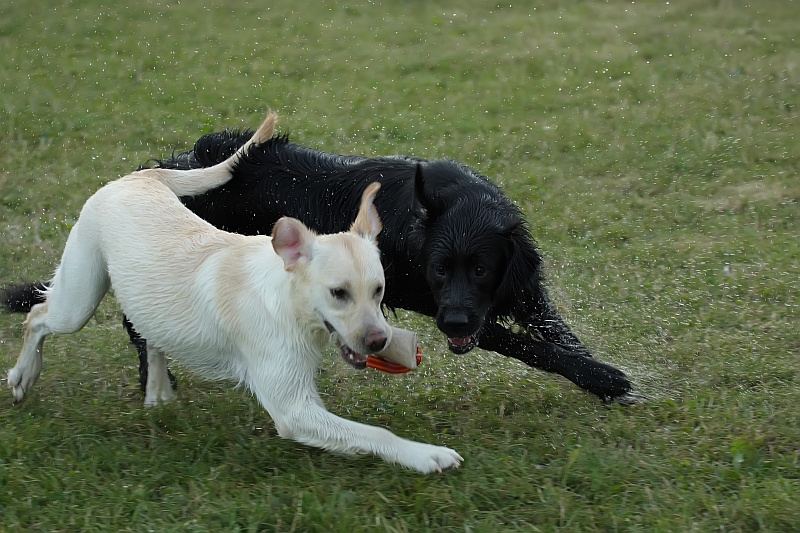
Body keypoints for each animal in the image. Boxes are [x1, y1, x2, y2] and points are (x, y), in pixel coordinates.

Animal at [3, 127, 636, 402]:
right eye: (439, 269)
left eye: (481, 268)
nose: (455, 324)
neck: (458, 205)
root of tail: (158, 170)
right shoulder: (438, 303)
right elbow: (530, 346)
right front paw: (606, 380)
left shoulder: (517, 291)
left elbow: (556, 336)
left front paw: (598, 375)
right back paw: (154, 381)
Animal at [6, 111, 462, 470]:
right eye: (338, 293)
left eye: (379, 291)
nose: (380, 340)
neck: (286, 302)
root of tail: (141, 177)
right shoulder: (293, 408)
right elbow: (375, 434)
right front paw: (427, 455)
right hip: (78, 299)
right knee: (38, 317)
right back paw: (23, 375)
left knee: (145, 333)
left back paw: (158, 394)